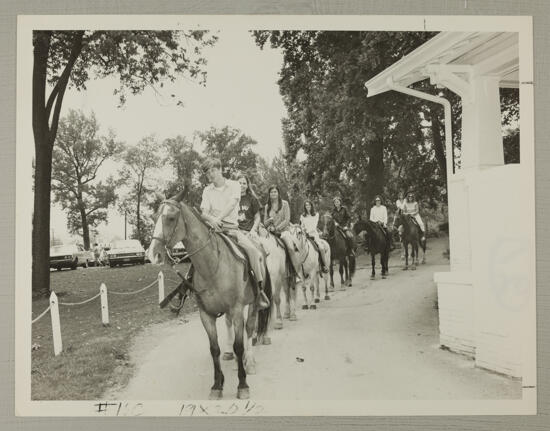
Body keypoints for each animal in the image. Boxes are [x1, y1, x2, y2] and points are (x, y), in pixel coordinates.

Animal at [149, 192, 274, 402]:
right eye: (155, 217)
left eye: (171, 218)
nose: (152, 254)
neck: (213, 265)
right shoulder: (206, 315)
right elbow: (214, 349)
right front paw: (217, 384)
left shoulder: (237, 309)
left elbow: (239, 345)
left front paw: (242, 385)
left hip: (253, 304)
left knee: (249, 330)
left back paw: (249, 362)